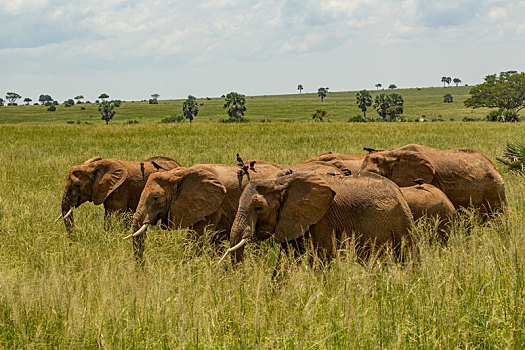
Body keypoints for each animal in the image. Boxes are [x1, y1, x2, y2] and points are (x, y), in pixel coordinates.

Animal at [222, 171, 418, 266]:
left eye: (258, 208)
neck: (281, 182)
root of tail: (399, 193)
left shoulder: (322, 219)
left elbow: (323, 258)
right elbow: (285, 261)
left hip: (401, 222)